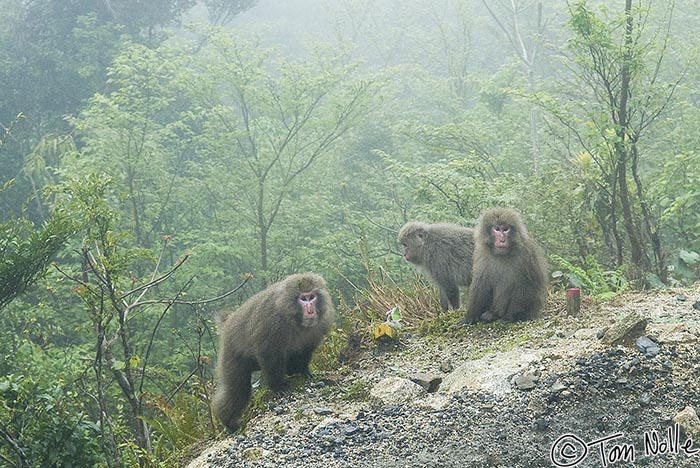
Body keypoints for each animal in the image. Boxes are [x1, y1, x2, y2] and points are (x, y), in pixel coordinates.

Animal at [213, 274, 334, 432]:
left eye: (311, 297)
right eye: (303, 299)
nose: (310, 310)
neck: (295, 320)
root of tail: (229, 320)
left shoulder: (320, 323)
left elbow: (305, 350)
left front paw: (304, 371)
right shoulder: (273, 323)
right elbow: (269, 354)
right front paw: (278, 387)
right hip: (232, 351)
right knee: (238, 388)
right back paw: (229, 421)